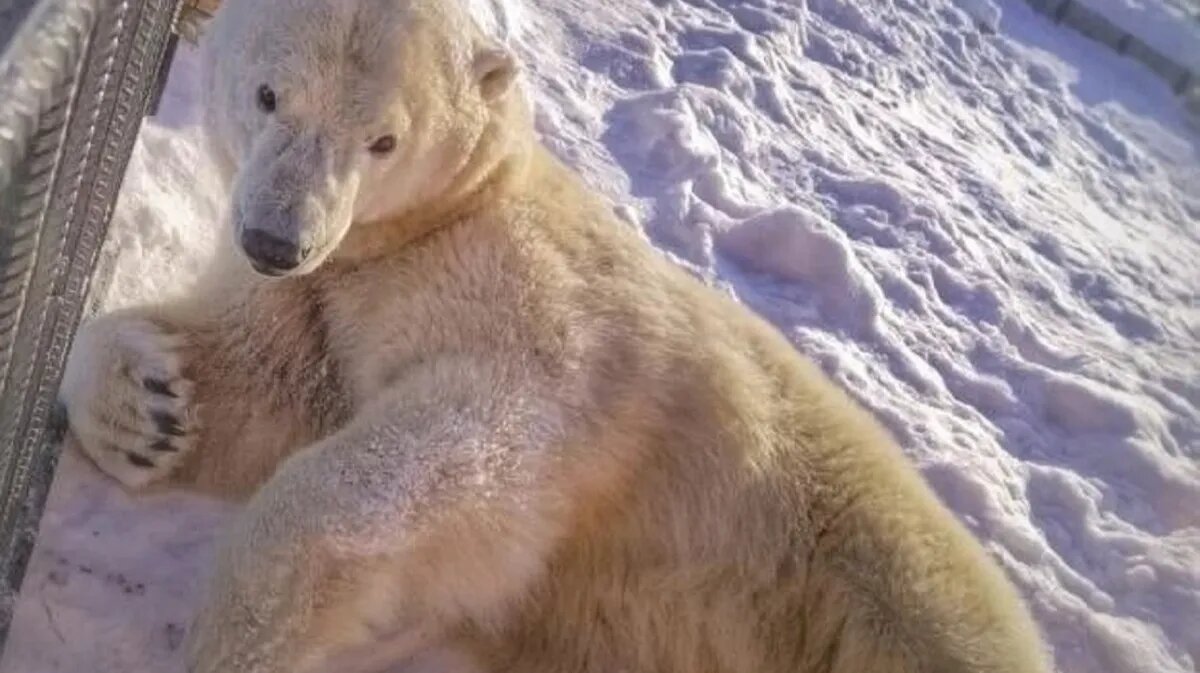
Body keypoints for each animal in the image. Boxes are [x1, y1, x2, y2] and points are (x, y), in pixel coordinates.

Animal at [58, 1, 1051, 671]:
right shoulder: (328, 292)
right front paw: (147, 409)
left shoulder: (537, 305)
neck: (442, 217)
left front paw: (246, 626)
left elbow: (476, 441)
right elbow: (261, 381)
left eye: (384, 140)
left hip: (877, 585)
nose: (274, 239)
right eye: (270, 94)